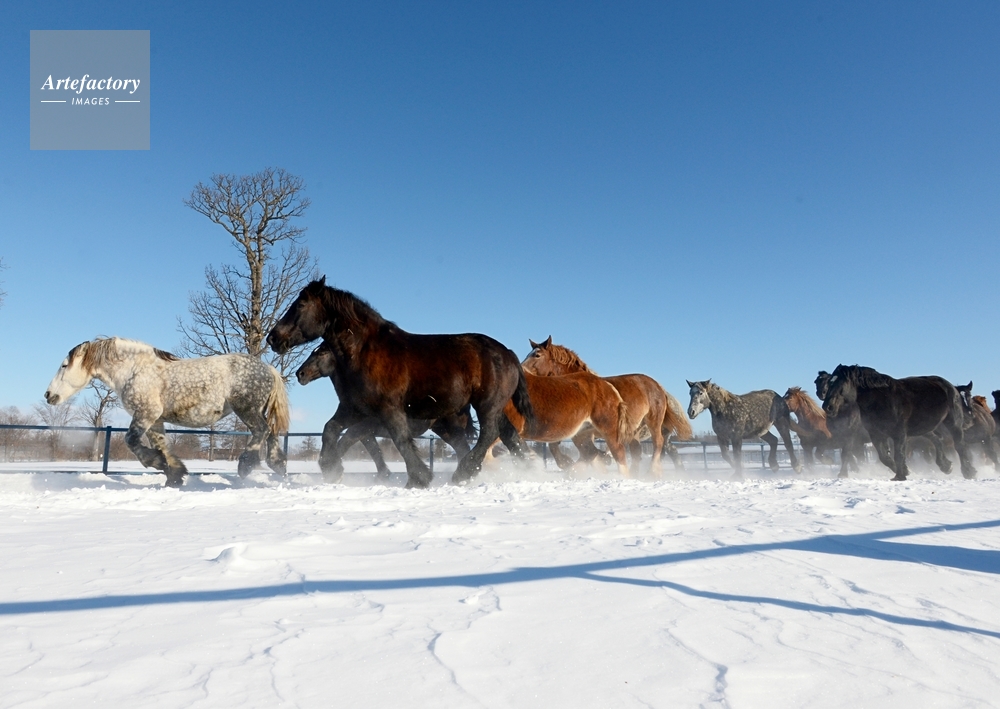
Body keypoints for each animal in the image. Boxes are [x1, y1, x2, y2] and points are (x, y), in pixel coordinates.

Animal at [44, 338, 289, 487]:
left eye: (64, 365)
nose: (48, 395)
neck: (135, 370)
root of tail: (268, 368)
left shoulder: (145, 414)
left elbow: (132, 441)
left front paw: (159, 464)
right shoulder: (155, 420)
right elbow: (161, 444)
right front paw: (174, 475)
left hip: (246, 408)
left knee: (262, 431)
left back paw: (246, 465)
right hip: (256, 410)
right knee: (271, 432)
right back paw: (278, 465)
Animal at [296, 342, 477, 481]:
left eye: (322, 353)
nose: (300, 373)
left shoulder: (362, 428)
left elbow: (344, 444)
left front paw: (333, 470)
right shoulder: (364, 430)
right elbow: (372, 449)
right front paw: (383, 475)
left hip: (453, 430)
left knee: (463, 448)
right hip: (444, 431)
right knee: (461, 449)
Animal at [522, 337, 692, 475]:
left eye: (537, 355)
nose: (521, 370)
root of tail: (659, 387)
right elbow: (559, 447)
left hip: (653, 422)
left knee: (658, 444)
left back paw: (651, 472)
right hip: (634, 431)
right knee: (637, 451)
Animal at [822, 365, 975, 481]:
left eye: (842, 383)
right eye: (829, 383)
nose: (827, 407)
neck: (881, 399)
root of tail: (950, 387)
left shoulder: (899, 434)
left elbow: (898, 454)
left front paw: (900, 476)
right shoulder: (876, 434)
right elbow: (884, 457)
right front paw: (905, 471)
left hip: (953, 422)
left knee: (960, 445)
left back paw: (969, 472)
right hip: (923, 429)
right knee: (937, 440)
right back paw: (946, 466)